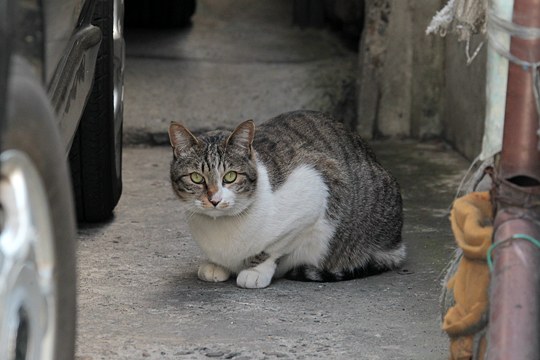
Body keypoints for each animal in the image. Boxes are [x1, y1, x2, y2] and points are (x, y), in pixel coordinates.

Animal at [169, 110, 404, 290]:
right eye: (196, 178)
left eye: (230, 176)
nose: (215, 200)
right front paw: (217, 265)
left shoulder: (316, 190)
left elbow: (274, 248)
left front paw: (255, 270)